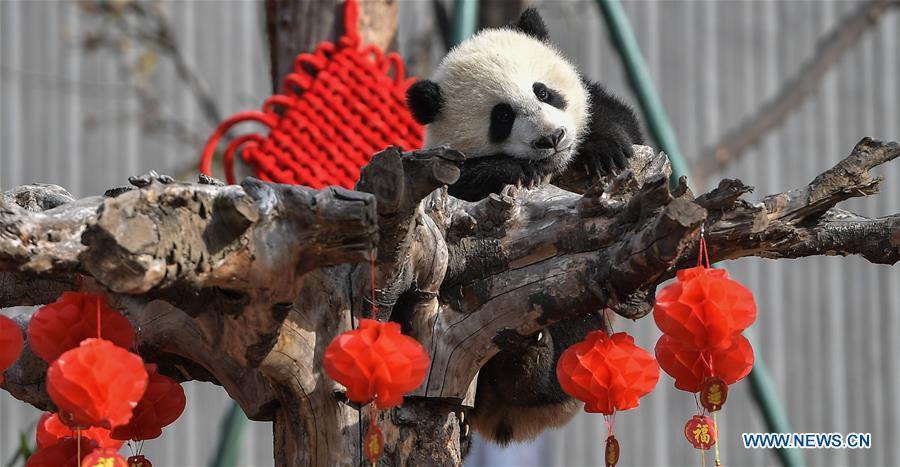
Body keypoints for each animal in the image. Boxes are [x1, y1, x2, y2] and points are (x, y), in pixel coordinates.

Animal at [406, 9, 643, 445]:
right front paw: (513, 170)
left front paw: (604, 148)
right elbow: (460, 186)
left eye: (543, 92)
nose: (552, 138)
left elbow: (615, 118)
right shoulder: (437, 170)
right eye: (502, 117)